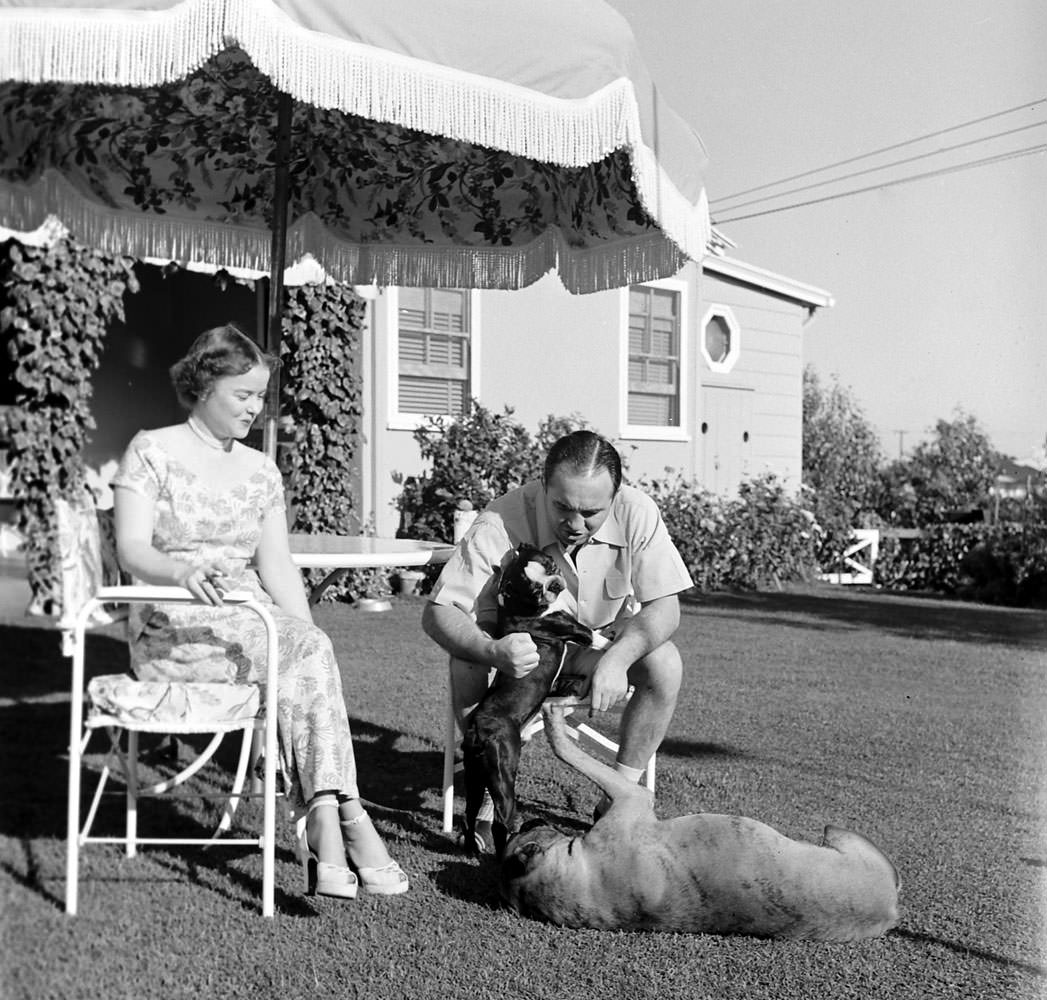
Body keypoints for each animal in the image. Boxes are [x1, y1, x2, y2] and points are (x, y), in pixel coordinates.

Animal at [460, 544, 598, 854]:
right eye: (535, 590)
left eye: (550, 566)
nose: (555, 584)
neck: (518, 605)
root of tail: (477, 730)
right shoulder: (575, 630)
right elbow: (597, 636)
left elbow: (572, 682)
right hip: (503, 772)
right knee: (500, 820)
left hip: (474, 775)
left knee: (470, 811)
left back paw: (473, 848)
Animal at [500, 703, 900, 938]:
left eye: (522, 831)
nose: (524, 823)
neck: (575, 879)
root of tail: (890, 912)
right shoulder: (631, 800)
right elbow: (569, 751)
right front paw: (554, 724)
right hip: (839, 835)